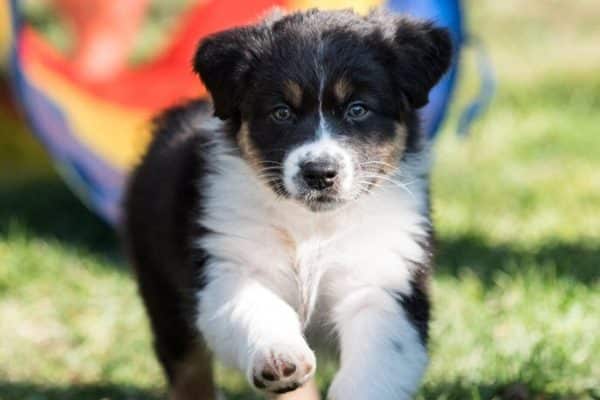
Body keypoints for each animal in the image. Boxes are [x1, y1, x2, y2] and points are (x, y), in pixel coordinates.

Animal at [124, 7, 452, 400]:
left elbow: (376, 360)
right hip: (161, 287)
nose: (319, 173)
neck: (313, 227)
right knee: (188, 368)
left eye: (358, 109)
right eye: (281, 112)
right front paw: (279, 357)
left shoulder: (386, 280)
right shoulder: (227, 265)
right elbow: (256, 310)